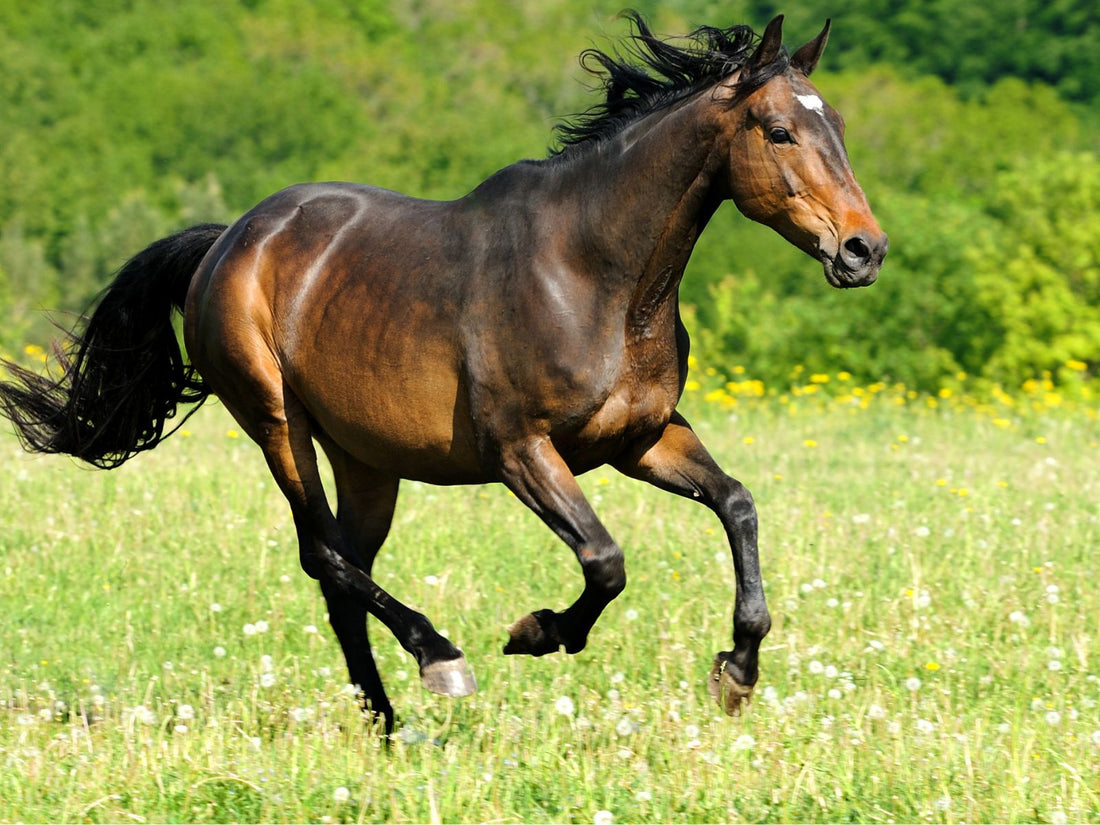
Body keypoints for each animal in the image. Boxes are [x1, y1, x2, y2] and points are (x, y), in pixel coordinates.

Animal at [0, 14, 884, 734]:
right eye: (779, 130)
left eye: (839, 124)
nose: (863, 250)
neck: (594, 274)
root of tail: (228, 240)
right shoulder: (522, 451)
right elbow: (605, 559)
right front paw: (537, 632)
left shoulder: (644, 439)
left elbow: (737, 504)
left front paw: (735, 672)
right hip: (279, 425)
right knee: (324, 556)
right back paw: (439, 659)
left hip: (366, 460)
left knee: (342, 573)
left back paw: (388, 723)